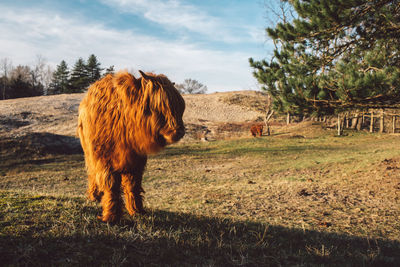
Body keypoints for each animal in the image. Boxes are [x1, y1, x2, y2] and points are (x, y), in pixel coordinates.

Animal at [78, 70, 186, 223]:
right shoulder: (104, 159)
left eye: (180, 106)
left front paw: (137, 211)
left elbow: (133, 186)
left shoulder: (136, 161)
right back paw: (94, 195)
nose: (180, 131)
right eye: (160, 105)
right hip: (89, 153)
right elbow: (111, 186)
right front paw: (110, 216)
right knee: (92, 173)